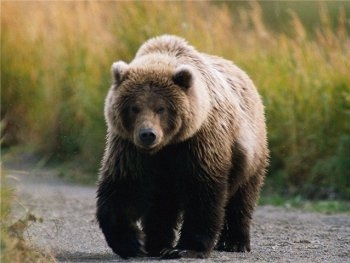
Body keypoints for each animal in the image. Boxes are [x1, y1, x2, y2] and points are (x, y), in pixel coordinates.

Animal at [95, 34, 268, 260]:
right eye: (134, 107)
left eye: (161, 108)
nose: (148, 134)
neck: (167, 146)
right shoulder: (129, 148)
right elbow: (123, 187)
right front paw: (132, 243)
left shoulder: (199, 142)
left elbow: (202, 192)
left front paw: (186, 247)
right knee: (161, 206)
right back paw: (156, 243)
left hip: (250, 149)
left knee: (242, 196)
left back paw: (235, 242)